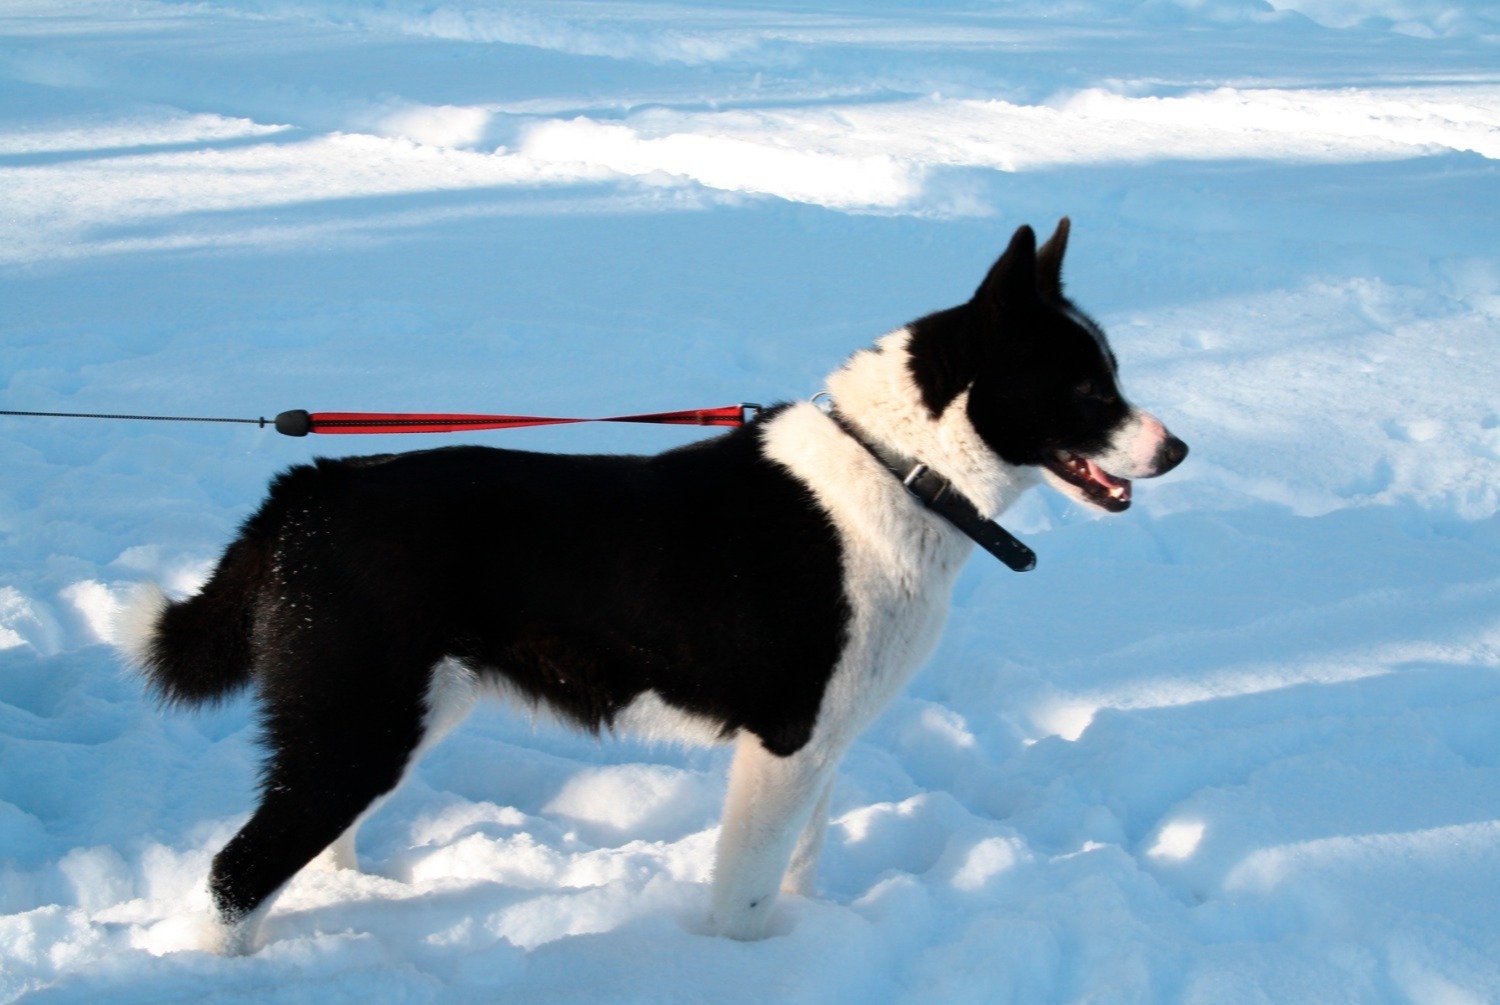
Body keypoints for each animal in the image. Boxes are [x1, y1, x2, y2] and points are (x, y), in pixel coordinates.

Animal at [123, 216, 1188, 954]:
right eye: (1089, 388)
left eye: (1114, 374)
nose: (1177, 448)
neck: (898, 469)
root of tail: (308, 488)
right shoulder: (784, 743)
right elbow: (745, 898)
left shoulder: (824, 746)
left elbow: (798, 870)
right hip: (359, 727)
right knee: (235, 873)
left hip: (381, 720)